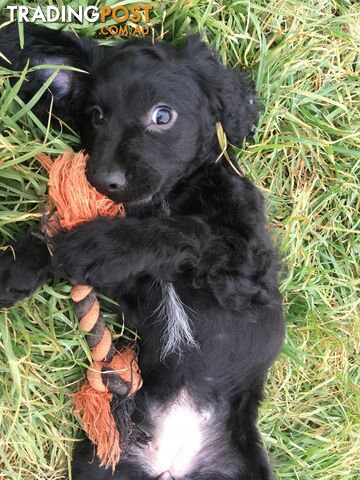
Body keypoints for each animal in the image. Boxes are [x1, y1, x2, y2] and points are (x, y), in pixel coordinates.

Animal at [1, 22, 286, 480]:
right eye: (96, 116)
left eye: (163, 116)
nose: (103, 180)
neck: (167, 198)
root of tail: (172, 461)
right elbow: (54, 235)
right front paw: (13, 266)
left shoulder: (244, 267)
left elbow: (187, 231)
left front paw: (99, 246)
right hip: (103, 462)